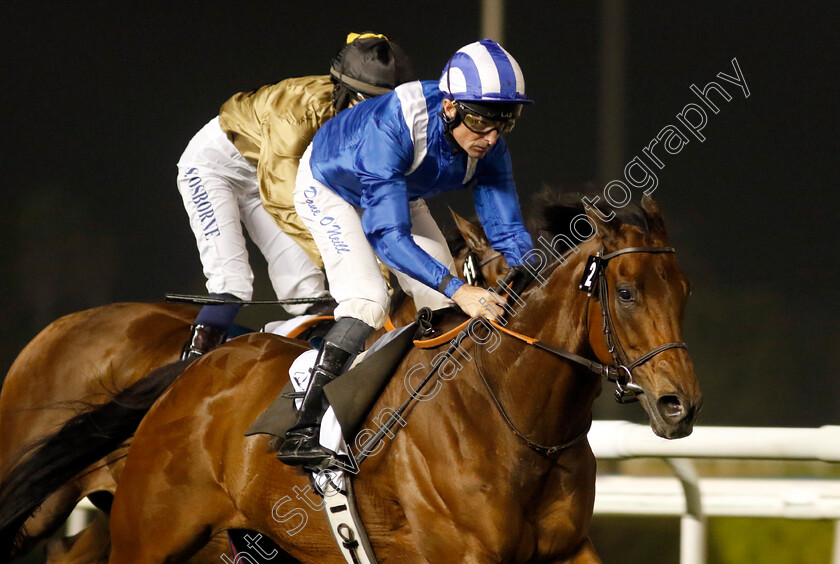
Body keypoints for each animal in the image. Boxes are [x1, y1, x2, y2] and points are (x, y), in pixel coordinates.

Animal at [95, 196, 700, 560]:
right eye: (627, 292)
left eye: (684, 291)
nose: (681, 405)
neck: (519, 424)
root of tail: (196, 369)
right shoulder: (465, 553)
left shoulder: (568, 548)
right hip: (148, 540)